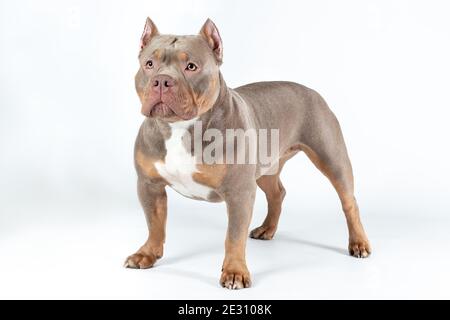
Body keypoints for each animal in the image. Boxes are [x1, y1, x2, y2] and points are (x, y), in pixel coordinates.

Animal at [123, 19, 370, 290]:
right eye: (149, 64)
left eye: (191, 66)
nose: (162, 81)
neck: (180, 127)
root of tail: (311, 91)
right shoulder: (149, 185)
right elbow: (155, 224)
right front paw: (147, 254)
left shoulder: (239, 192)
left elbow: (233, 236)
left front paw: (234, 272)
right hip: (266, 168)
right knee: (277, 193)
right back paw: (267, 229)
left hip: (331, 158)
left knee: (349, 202)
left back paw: (359, 243)